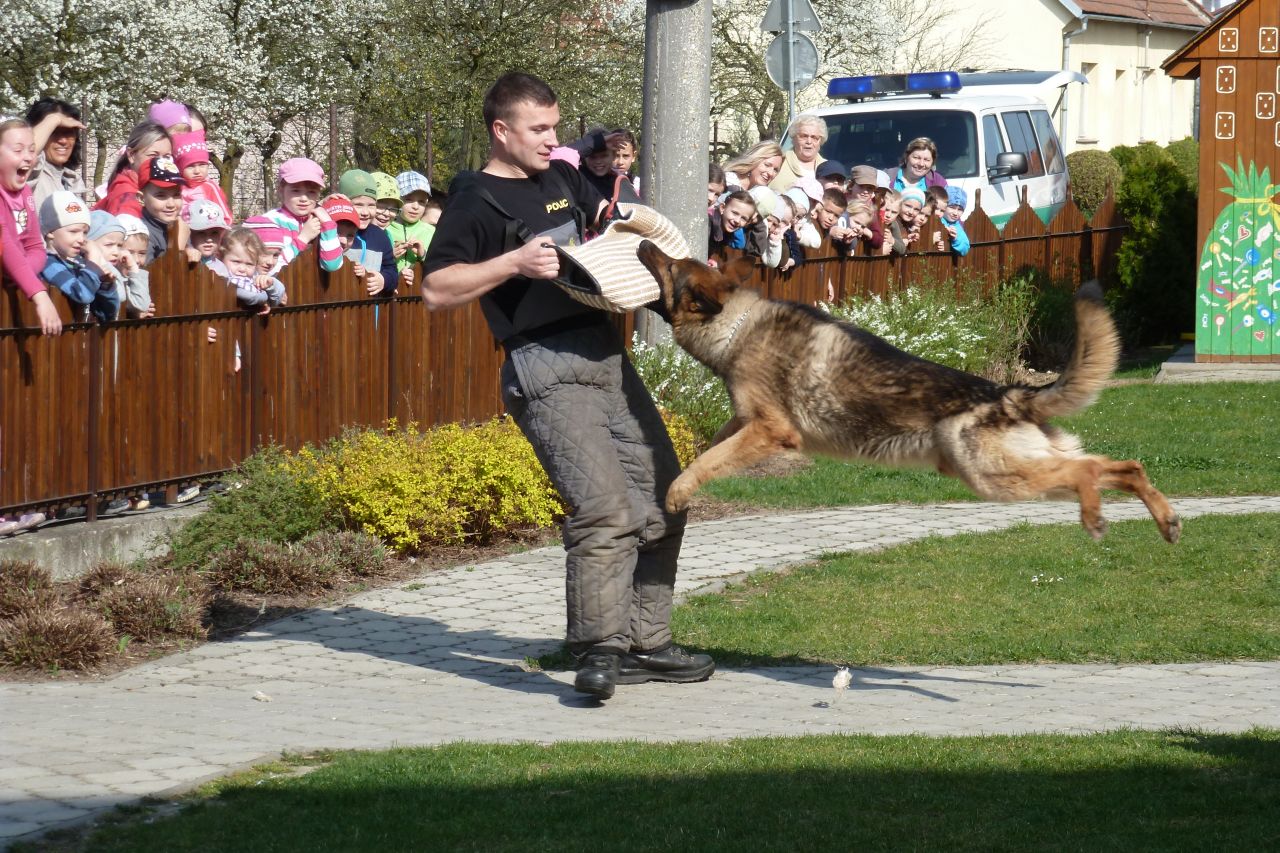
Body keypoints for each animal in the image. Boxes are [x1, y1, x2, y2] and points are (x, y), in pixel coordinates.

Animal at [634, 242, 1182, 540]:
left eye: (669, 266)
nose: (640, 242)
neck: (736, 326)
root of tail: (1009, 394)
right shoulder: (744, 423)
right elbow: (711, 448)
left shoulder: (769, 431)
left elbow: (707, 462)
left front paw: (677, 492)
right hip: (1011, 470)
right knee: (1124, 467)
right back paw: (1163, 519)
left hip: (993, 478)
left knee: (1089, 471)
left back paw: (1095, 516)